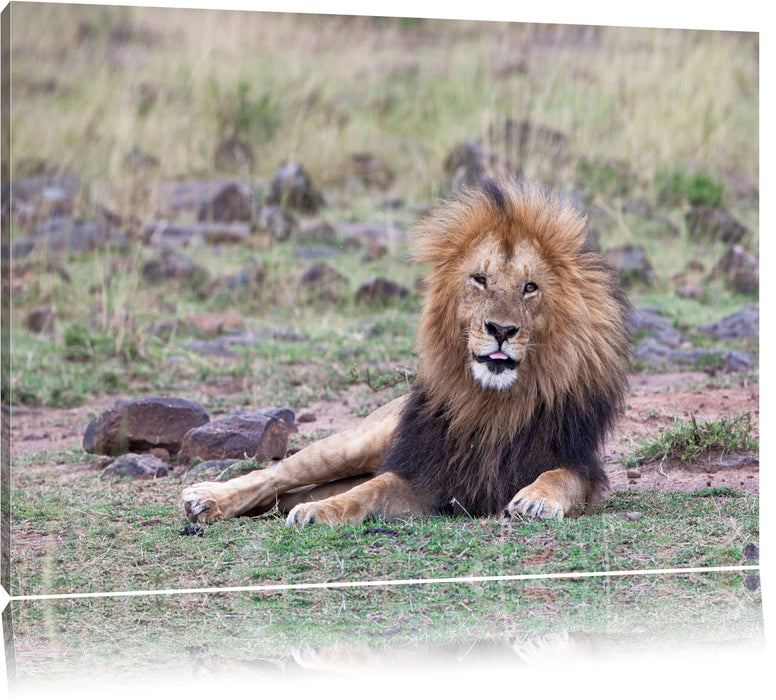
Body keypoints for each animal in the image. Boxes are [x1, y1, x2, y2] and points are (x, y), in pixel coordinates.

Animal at [183, 179, 632, 524]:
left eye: (530, 287)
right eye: (480, 280)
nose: (501, 330)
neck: (491, 405)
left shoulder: (579, 461)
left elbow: (561, 477)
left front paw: (537, 499)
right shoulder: (427, 471)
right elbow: (368, 490)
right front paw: (320, 512)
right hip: (360, 440)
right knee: (280, 472)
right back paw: (205, 498)